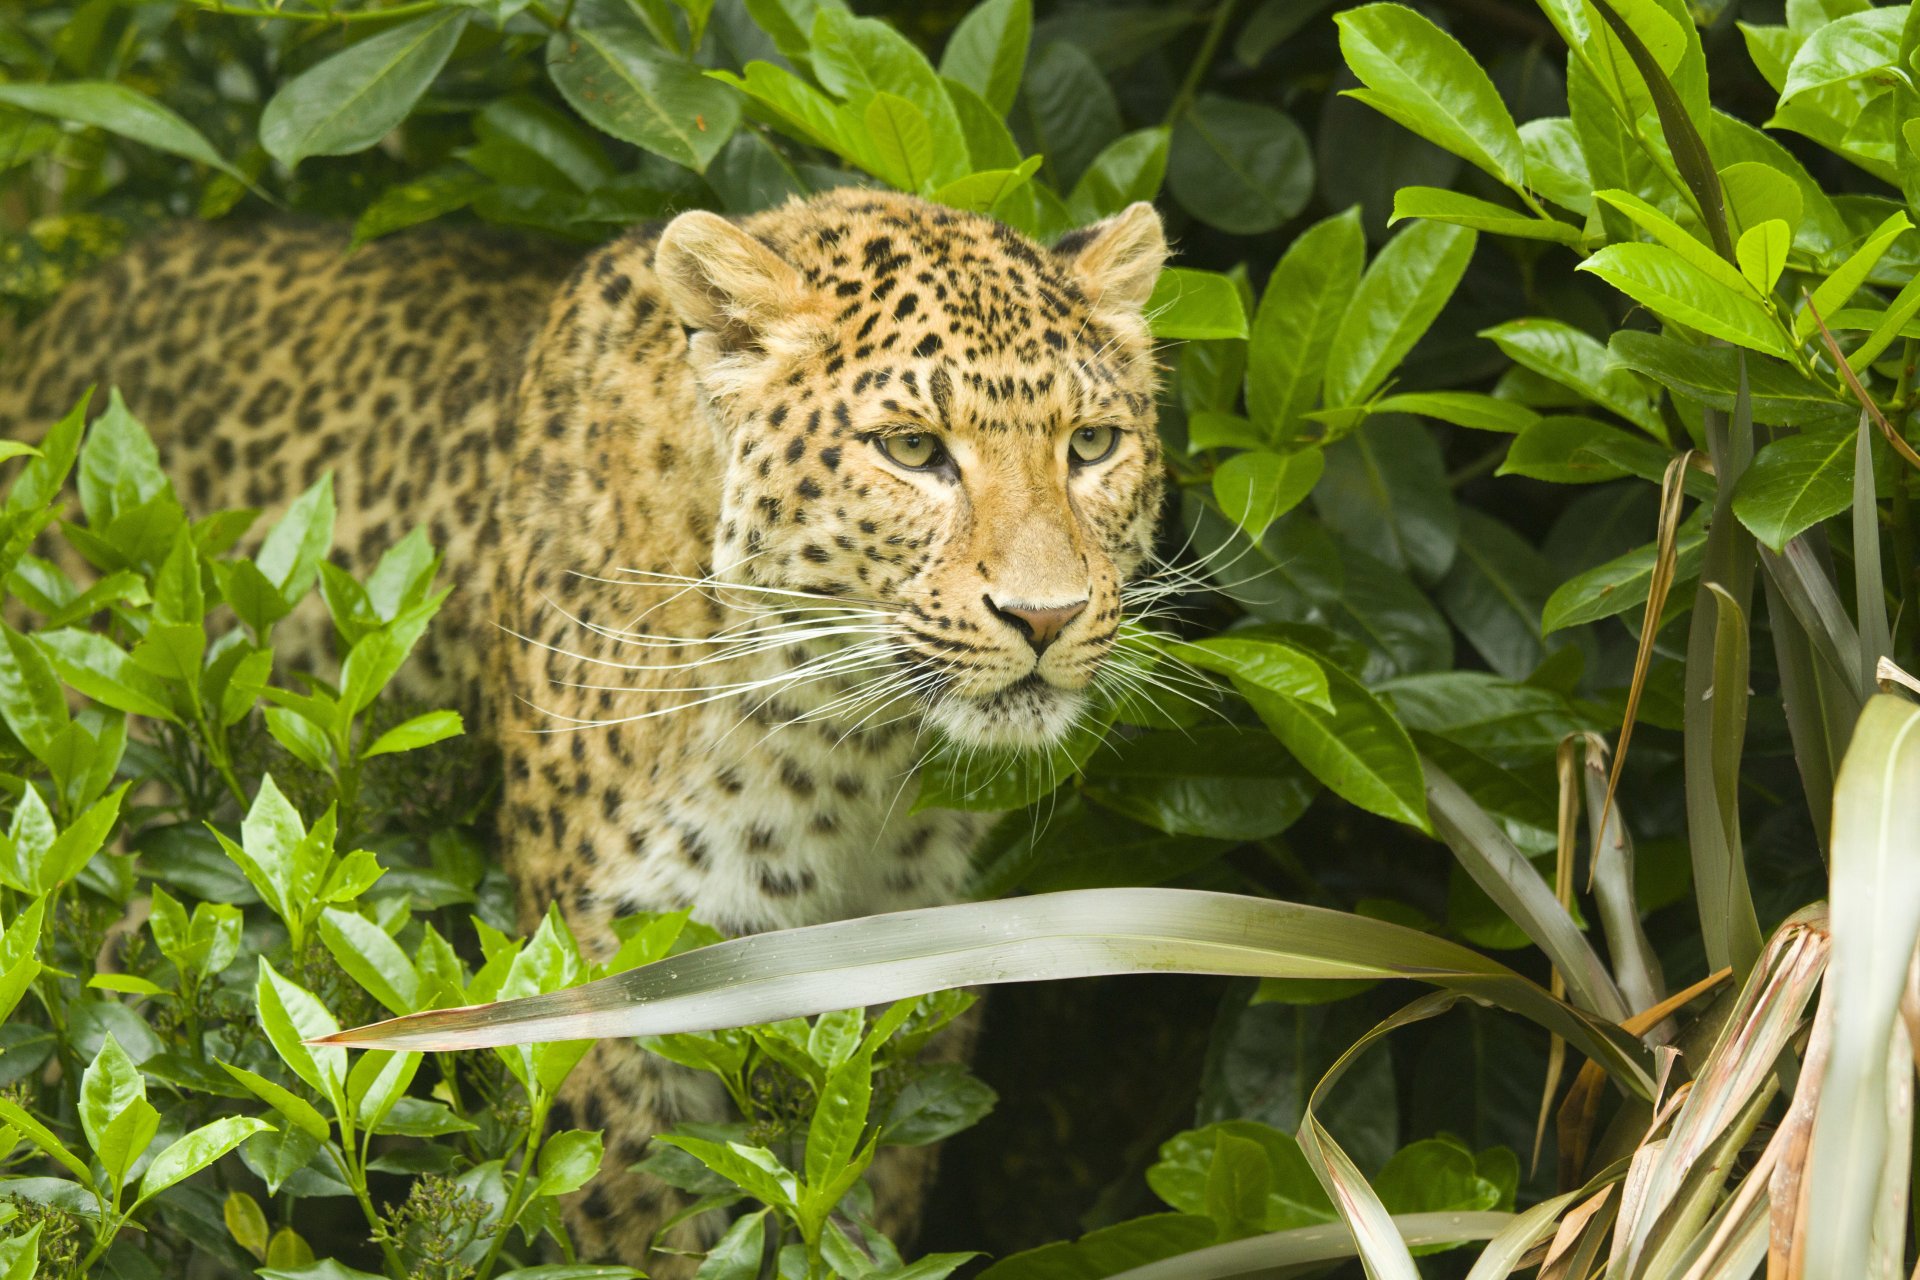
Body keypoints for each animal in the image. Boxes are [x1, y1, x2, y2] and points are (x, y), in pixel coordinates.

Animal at [0, 187, 1170, 1266]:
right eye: (914, 449)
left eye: (1093, 444)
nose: (1046, 616)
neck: (856, 754)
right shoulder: (621, 1000)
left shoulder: (914, 987)